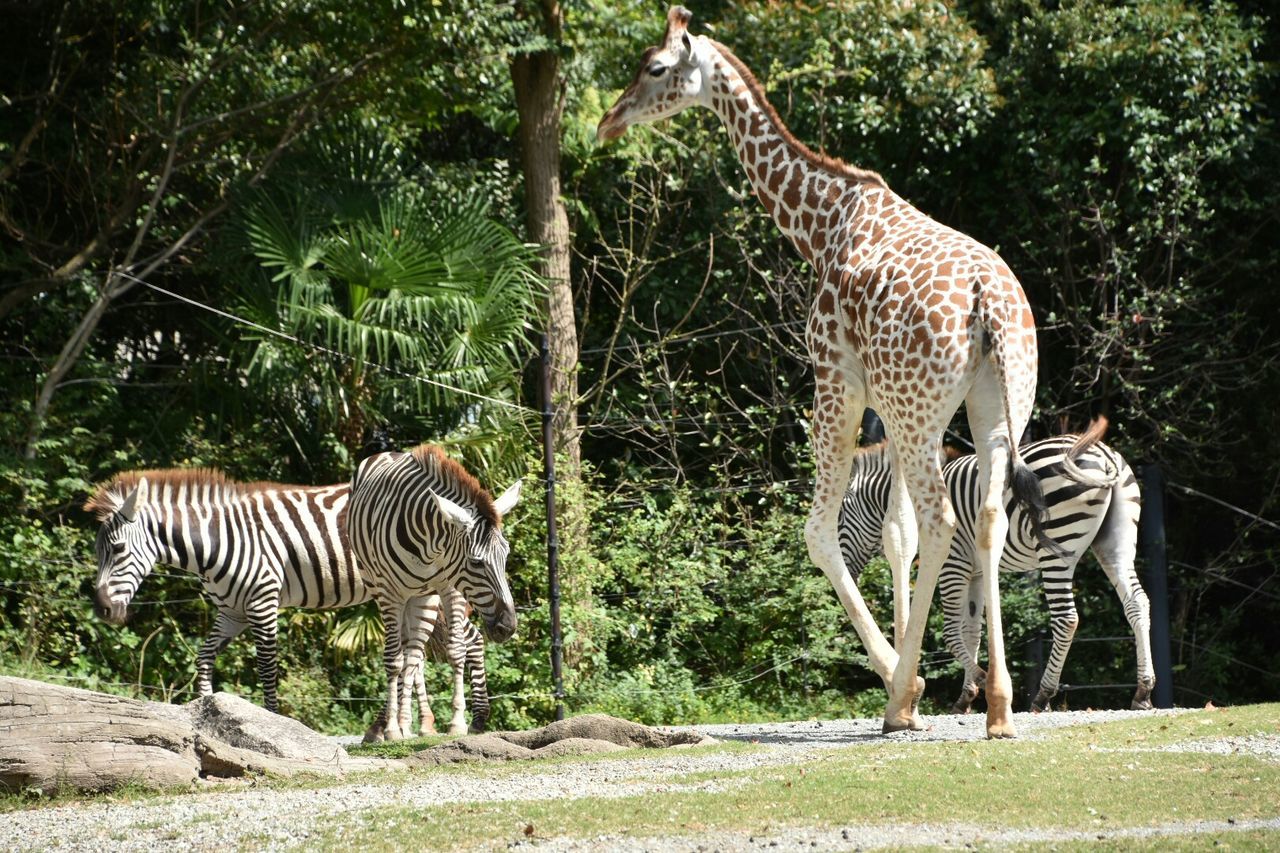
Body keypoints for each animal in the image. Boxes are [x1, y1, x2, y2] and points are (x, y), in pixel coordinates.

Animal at [85, 468, 491, 732]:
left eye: (117, 549)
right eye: (98, 551)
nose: (102, 609)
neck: (219, 539)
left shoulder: (262, 602)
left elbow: (267, 667)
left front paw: (273, 721)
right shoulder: (231, 612)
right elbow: (203, 658)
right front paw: (204, 712)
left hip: (441, 587)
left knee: (468, 640)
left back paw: (476, 719)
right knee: (437, 648)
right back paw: (423, 723)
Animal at [348, 440, 522, 742]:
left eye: (506, 556)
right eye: (476, 562)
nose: (508, 627)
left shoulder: (450, 587)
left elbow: (456, 650)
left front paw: (457, 722)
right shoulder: (390, 593)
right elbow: (392, 660)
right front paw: (391, 729)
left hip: (423, 598)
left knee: (414, 656)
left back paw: (408, 724)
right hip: (385, 592)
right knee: (404, 656)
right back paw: (392, 727)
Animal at [593, 6, 1044, 732]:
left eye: (655, 68)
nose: (610, 119)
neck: (821, 224)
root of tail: (987, 304)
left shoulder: (836, 381)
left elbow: (818, 534)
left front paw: (902, 687)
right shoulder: (886, 402)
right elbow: (895, 534)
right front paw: (913, 689)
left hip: (926, 415)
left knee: (944, 521)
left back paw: (906, 695)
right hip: (994, 406)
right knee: (986, 518)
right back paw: (999, 707)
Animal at [834, 417, 1157, 712]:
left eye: (838, 521)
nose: (845, 577)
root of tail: (1103, 454)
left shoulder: (953, 562)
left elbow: (951, 631)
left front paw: (982, 679)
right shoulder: (975, 572)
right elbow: (972, 632)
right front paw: (966, 697)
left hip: (1057, 545)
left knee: (1066, 618)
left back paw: (1043, 695)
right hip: (1115, 541)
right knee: (1137, 602)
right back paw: (1143, 691)